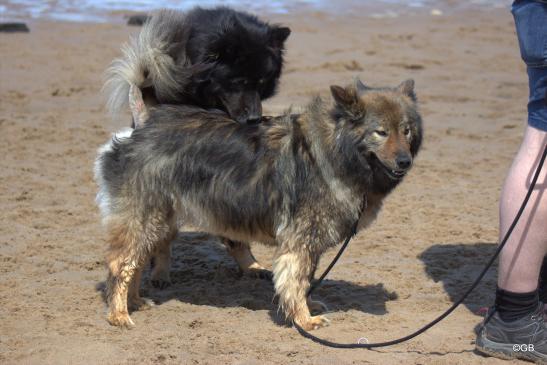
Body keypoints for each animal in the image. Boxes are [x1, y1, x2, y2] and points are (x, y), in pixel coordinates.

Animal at [94, 78, 424, 328]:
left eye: (406, 130)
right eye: (380, 132)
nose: (404, 161)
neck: (335, 151)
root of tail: (140, 127)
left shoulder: (310, 242)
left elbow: (306, 279)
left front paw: (310, 306)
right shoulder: (299, 240)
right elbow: (295, 280)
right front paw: (304, 320)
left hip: (156, 221)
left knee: (135, 262)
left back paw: (136, 302)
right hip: (143, 219)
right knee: (120, 264)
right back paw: (119, 315)